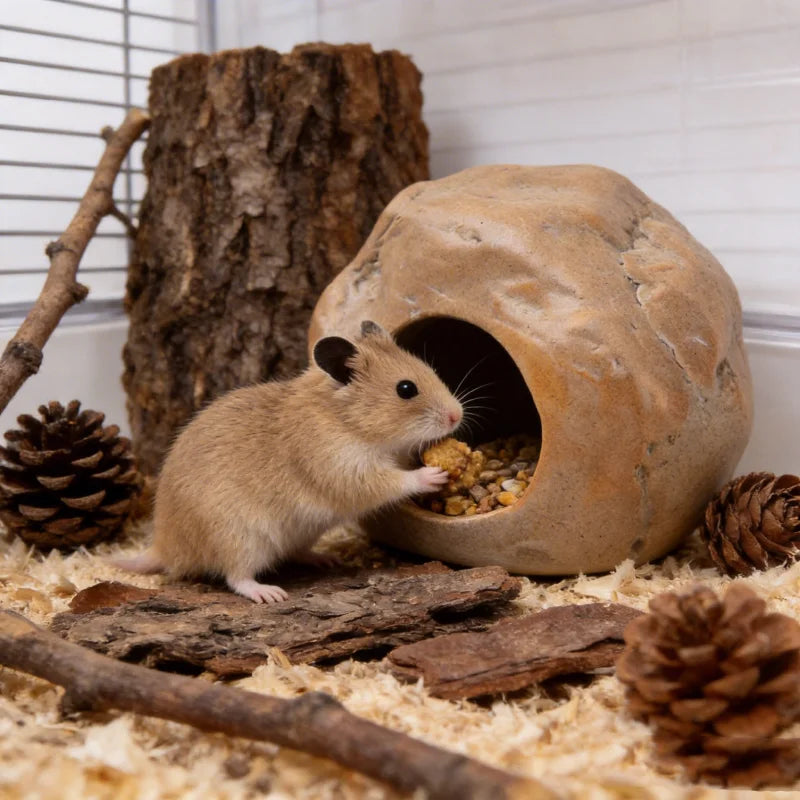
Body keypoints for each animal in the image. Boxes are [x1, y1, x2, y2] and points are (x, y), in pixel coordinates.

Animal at [116, 320, 463, 603]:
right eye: (406, 389)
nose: (457, 415)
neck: (346, 421)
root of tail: (163, 546)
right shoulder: (346, 472)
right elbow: (395, 481)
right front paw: (434, 474)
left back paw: (325, 560)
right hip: (239, 539)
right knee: (235, 576)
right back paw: (269, 593)